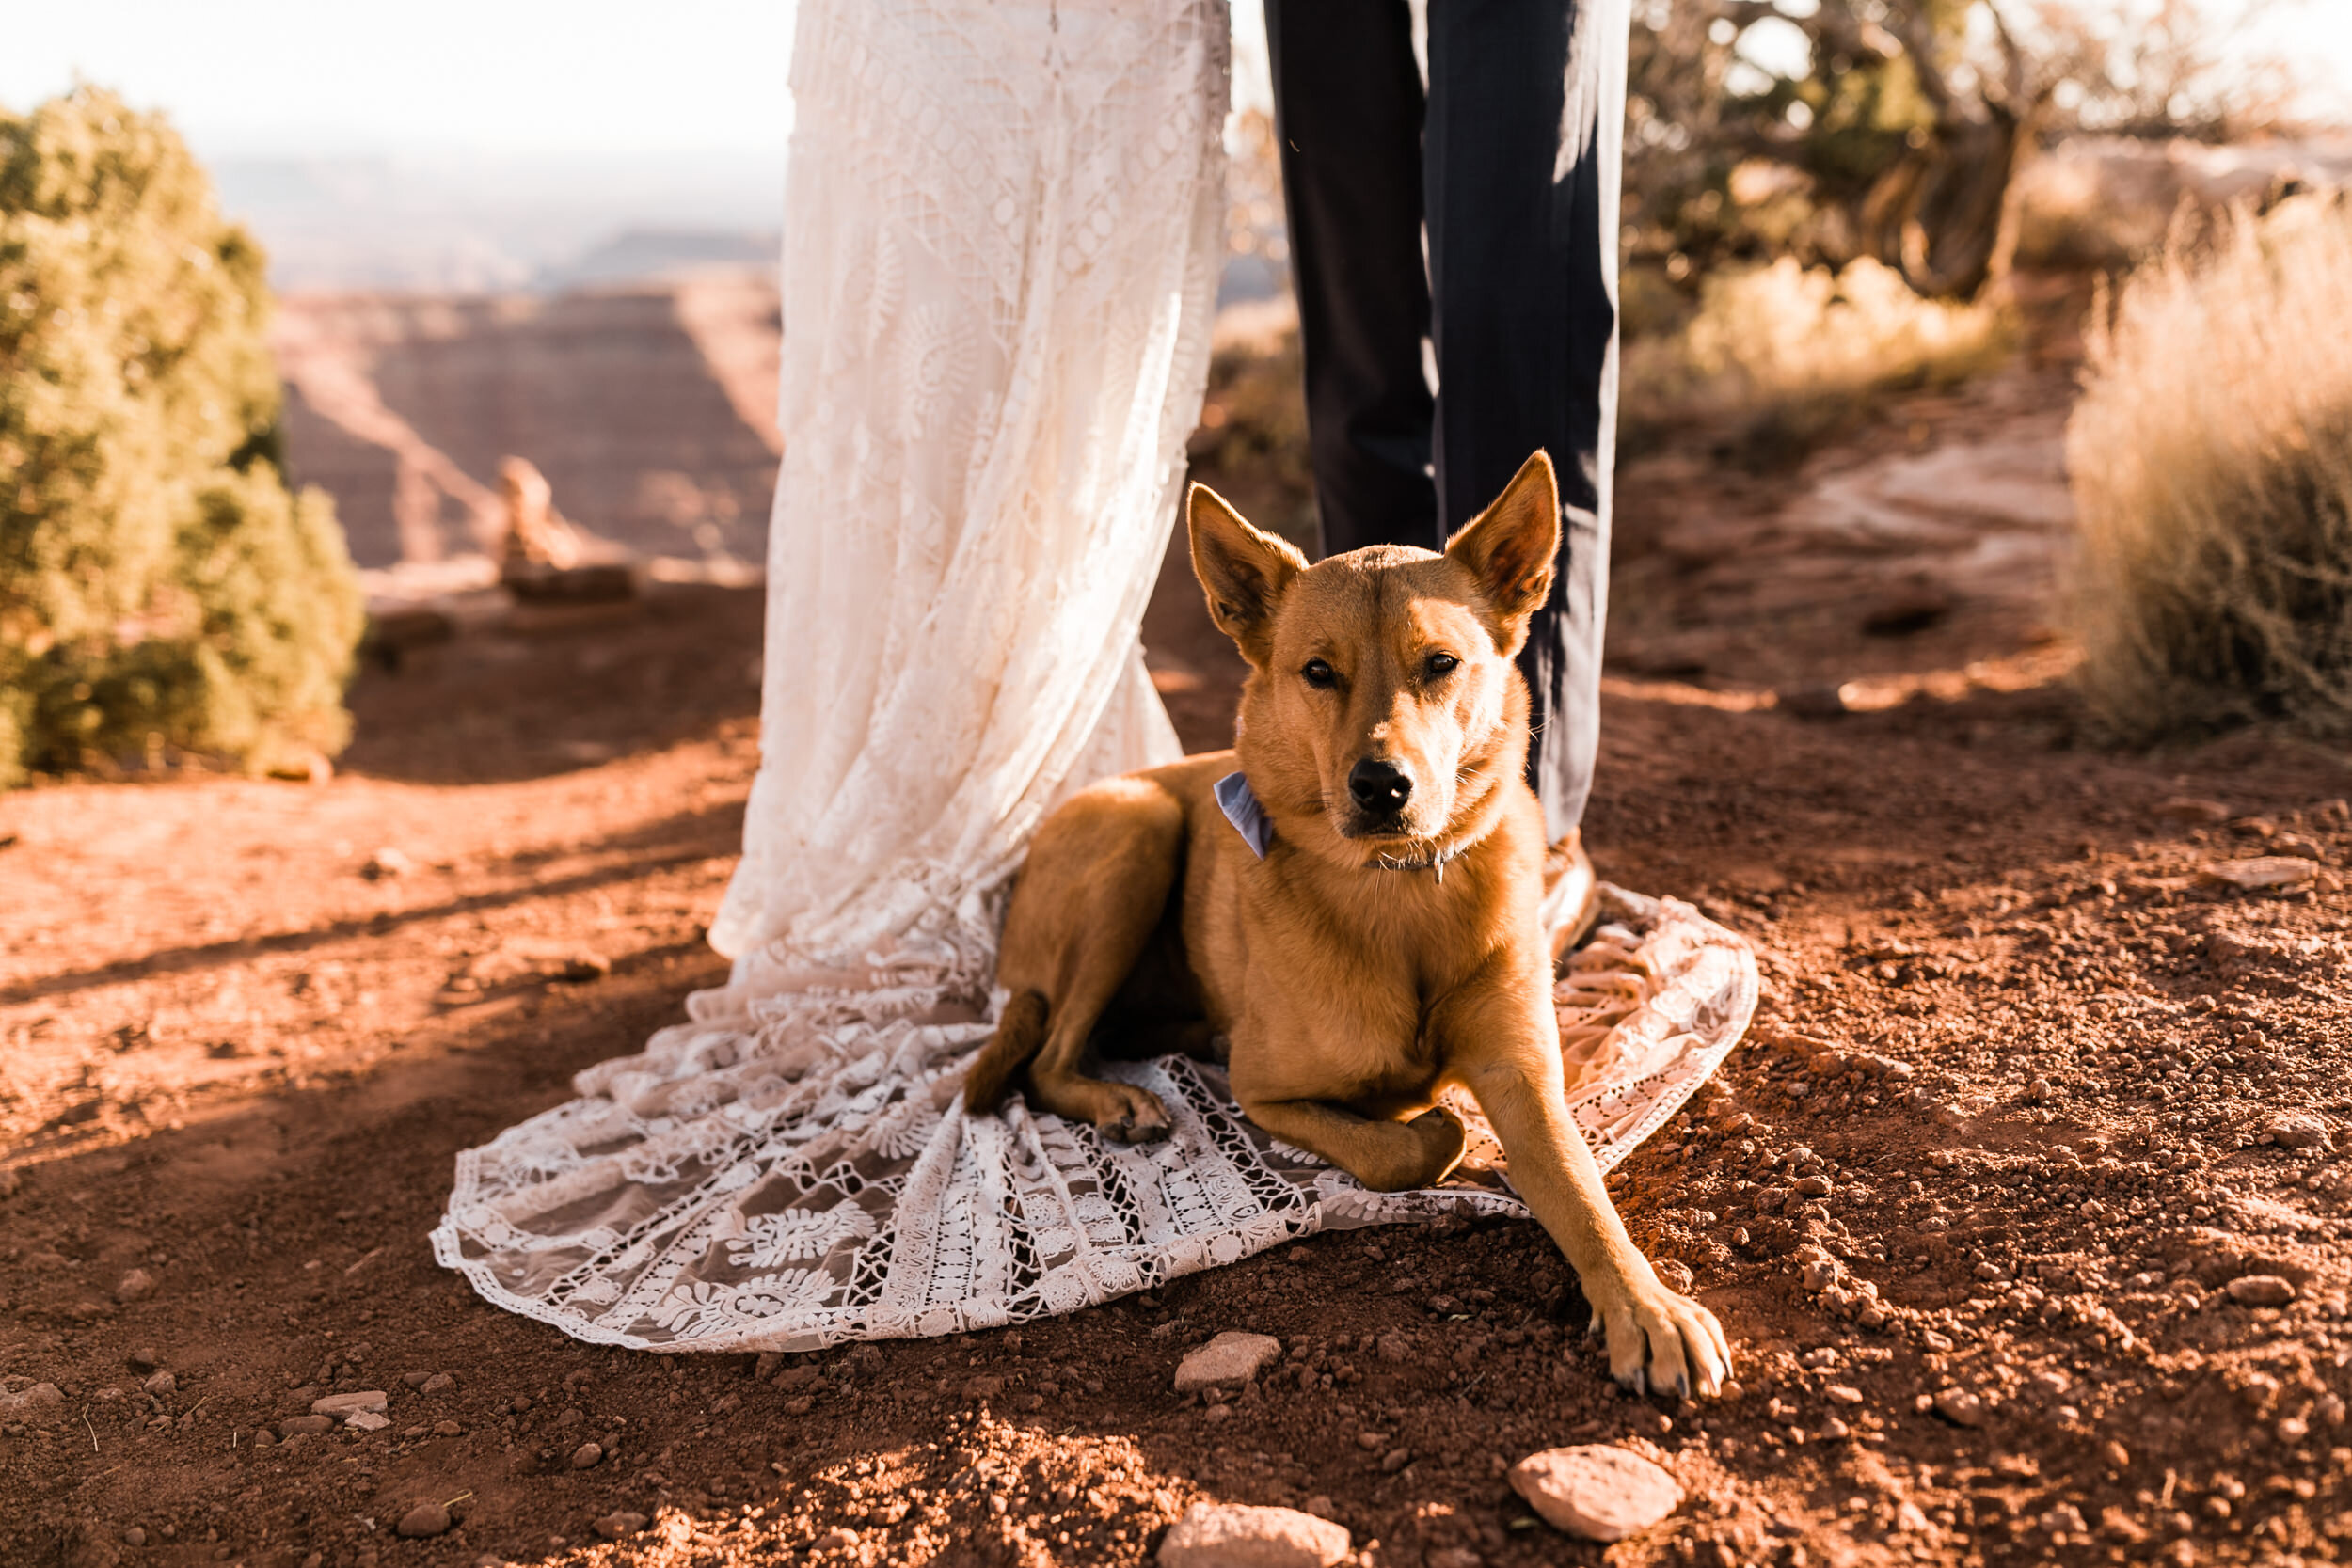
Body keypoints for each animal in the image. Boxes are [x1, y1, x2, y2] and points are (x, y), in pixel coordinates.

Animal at [964, 446, 1740, 1391]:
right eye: (1317, 671)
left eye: (1441, 662)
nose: (1381, 785)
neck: (1399, 892)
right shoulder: (1263, 1089)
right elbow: (1403, 1145)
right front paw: (1435, 1124)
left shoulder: (1525, 1078)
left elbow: (1584, 1193)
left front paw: (1645, 1305)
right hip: (1135, 835)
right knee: (1047, 1058)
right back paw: (1120, 1102)